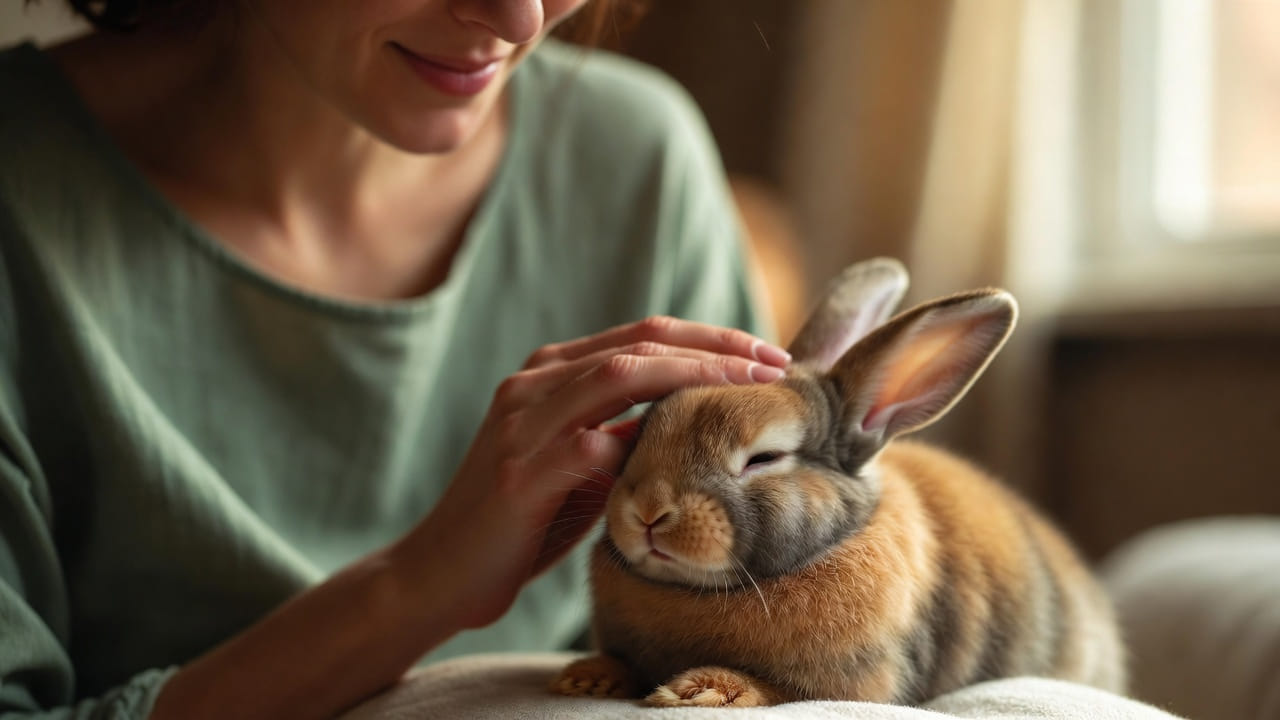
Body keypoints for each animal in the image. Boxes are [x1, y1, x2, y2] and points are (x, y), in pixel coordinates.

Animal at [550, 258, 1126, 708]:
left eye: (765, 458)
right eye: (640, 432)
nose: (648, 511)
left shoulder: (853, 684)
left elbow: (776, 689)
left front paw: (702, 690)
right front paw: (586, 678)